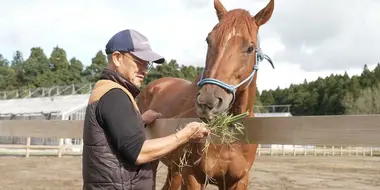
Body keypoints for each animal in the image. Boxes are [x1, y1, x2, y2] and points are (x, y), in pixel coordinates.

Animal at [138, 0, 274, 189]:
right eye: (209, 40)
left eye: (250, 48)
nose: (207, 102)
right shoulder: (192, 176)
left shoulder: (238, 180)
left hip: (174, 169)